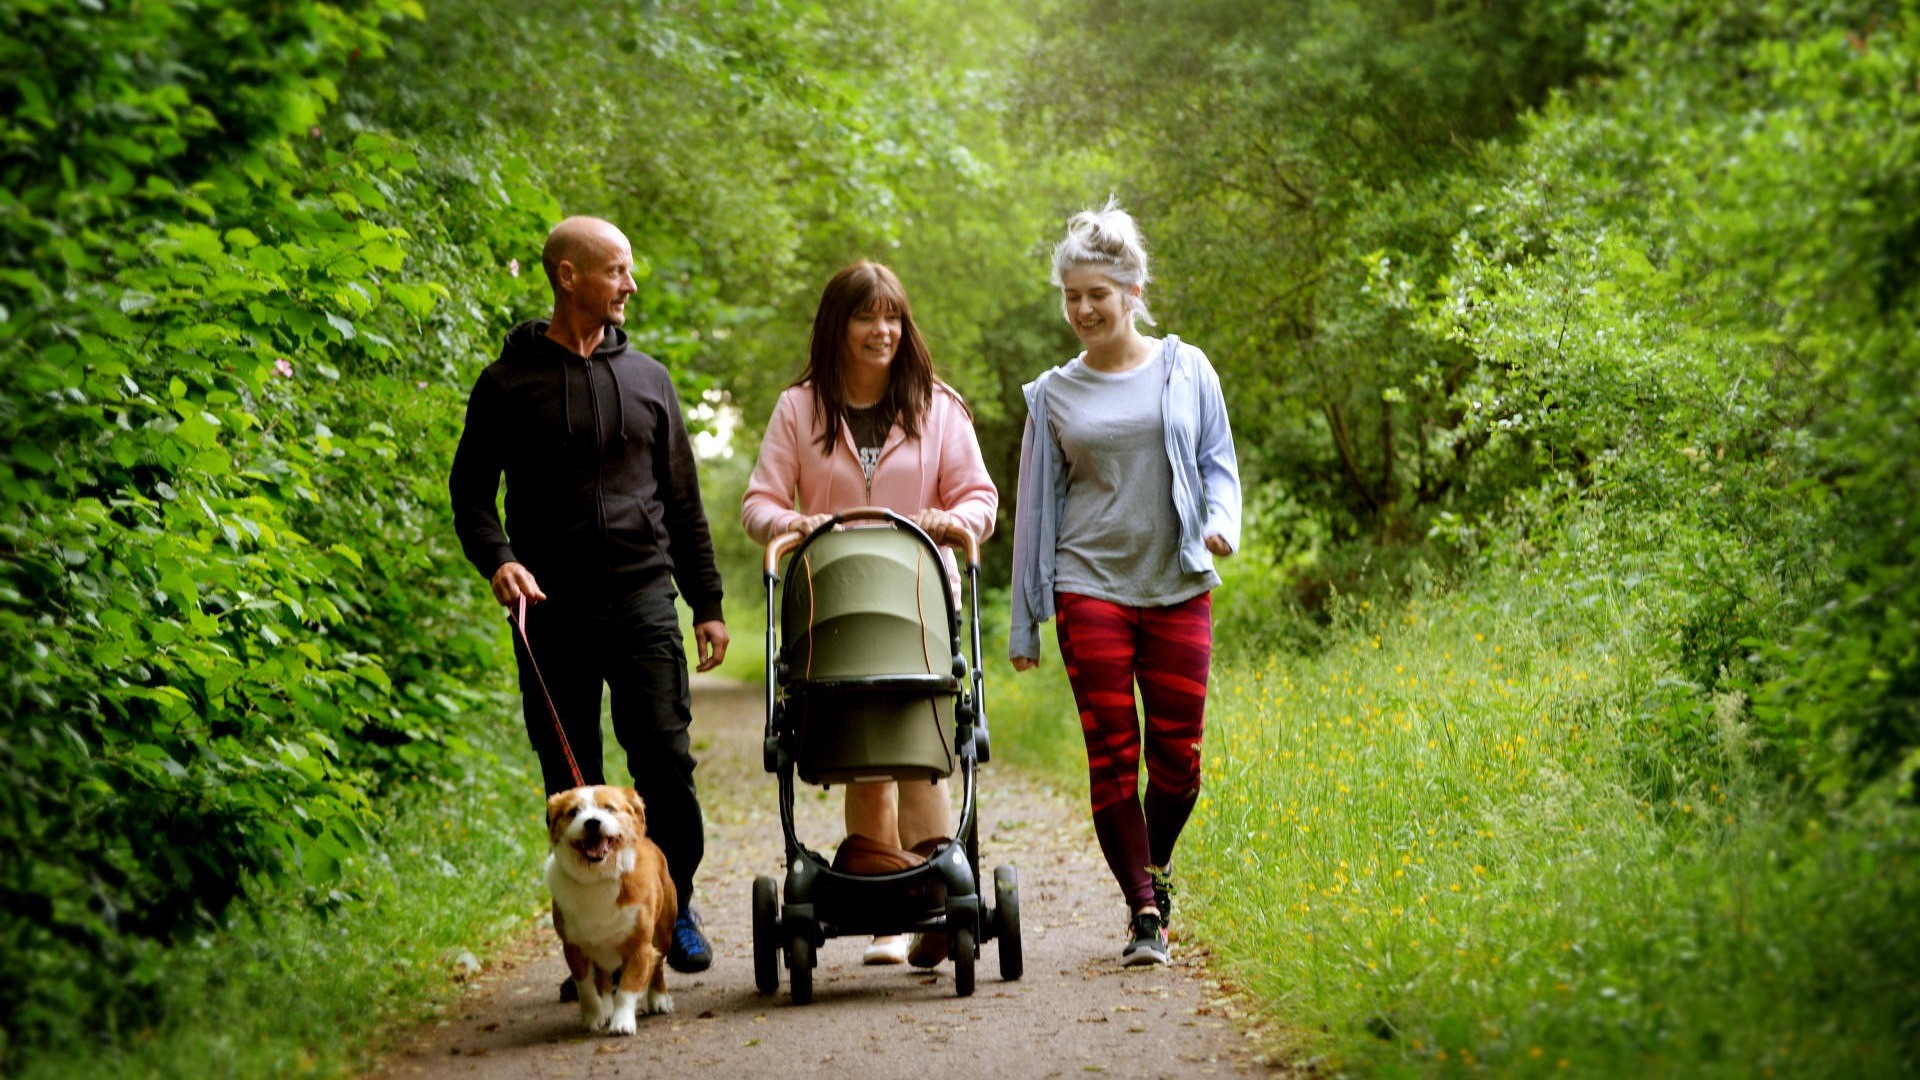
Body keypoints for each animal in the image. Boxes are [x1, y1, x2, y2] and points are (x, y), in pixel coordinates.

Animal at [545, 780, 679, 1022]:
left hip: (664, 931)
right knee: (604, 976)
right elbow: (586, 986)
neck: (597, 877)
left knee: (658, 964)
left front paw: (622, 1019)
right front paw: (594, 1015)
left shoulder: (640, 943)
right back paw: (607, 1005)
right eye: (573, 812)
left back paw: (658, 998)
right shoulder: (572, 946)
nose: (592, 822)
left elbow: (630, 985)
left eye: (609, 808)